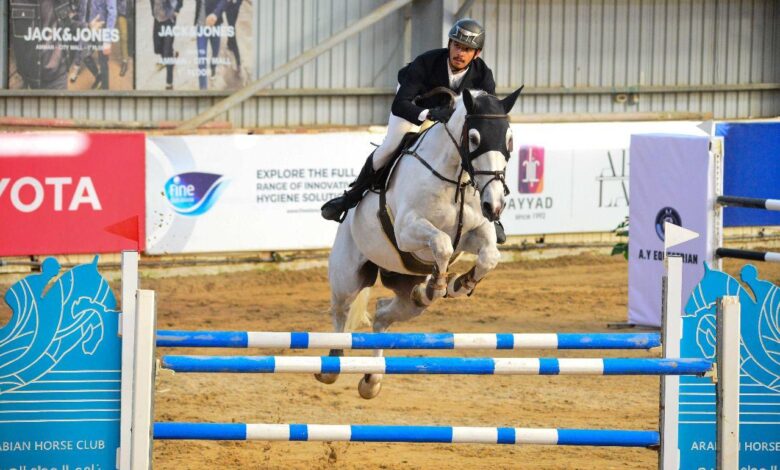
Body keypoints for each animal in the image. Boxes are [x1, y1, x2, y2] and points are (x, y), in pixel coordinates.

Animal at [316, 87, 524, 396]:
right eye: (474, 138)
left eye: (509, 139)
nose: (495, 205)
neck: (457, 180)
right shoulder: (407, 230)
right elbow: (441, 243)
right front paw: (439, 284)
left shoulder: (475, 232)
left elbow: (489, 256)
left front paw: (460, 284)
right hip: (348, 276)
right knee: (340, 311)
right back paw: (332, 367)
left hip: (406, 295)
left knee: (384, 314)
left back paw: (372, 379)